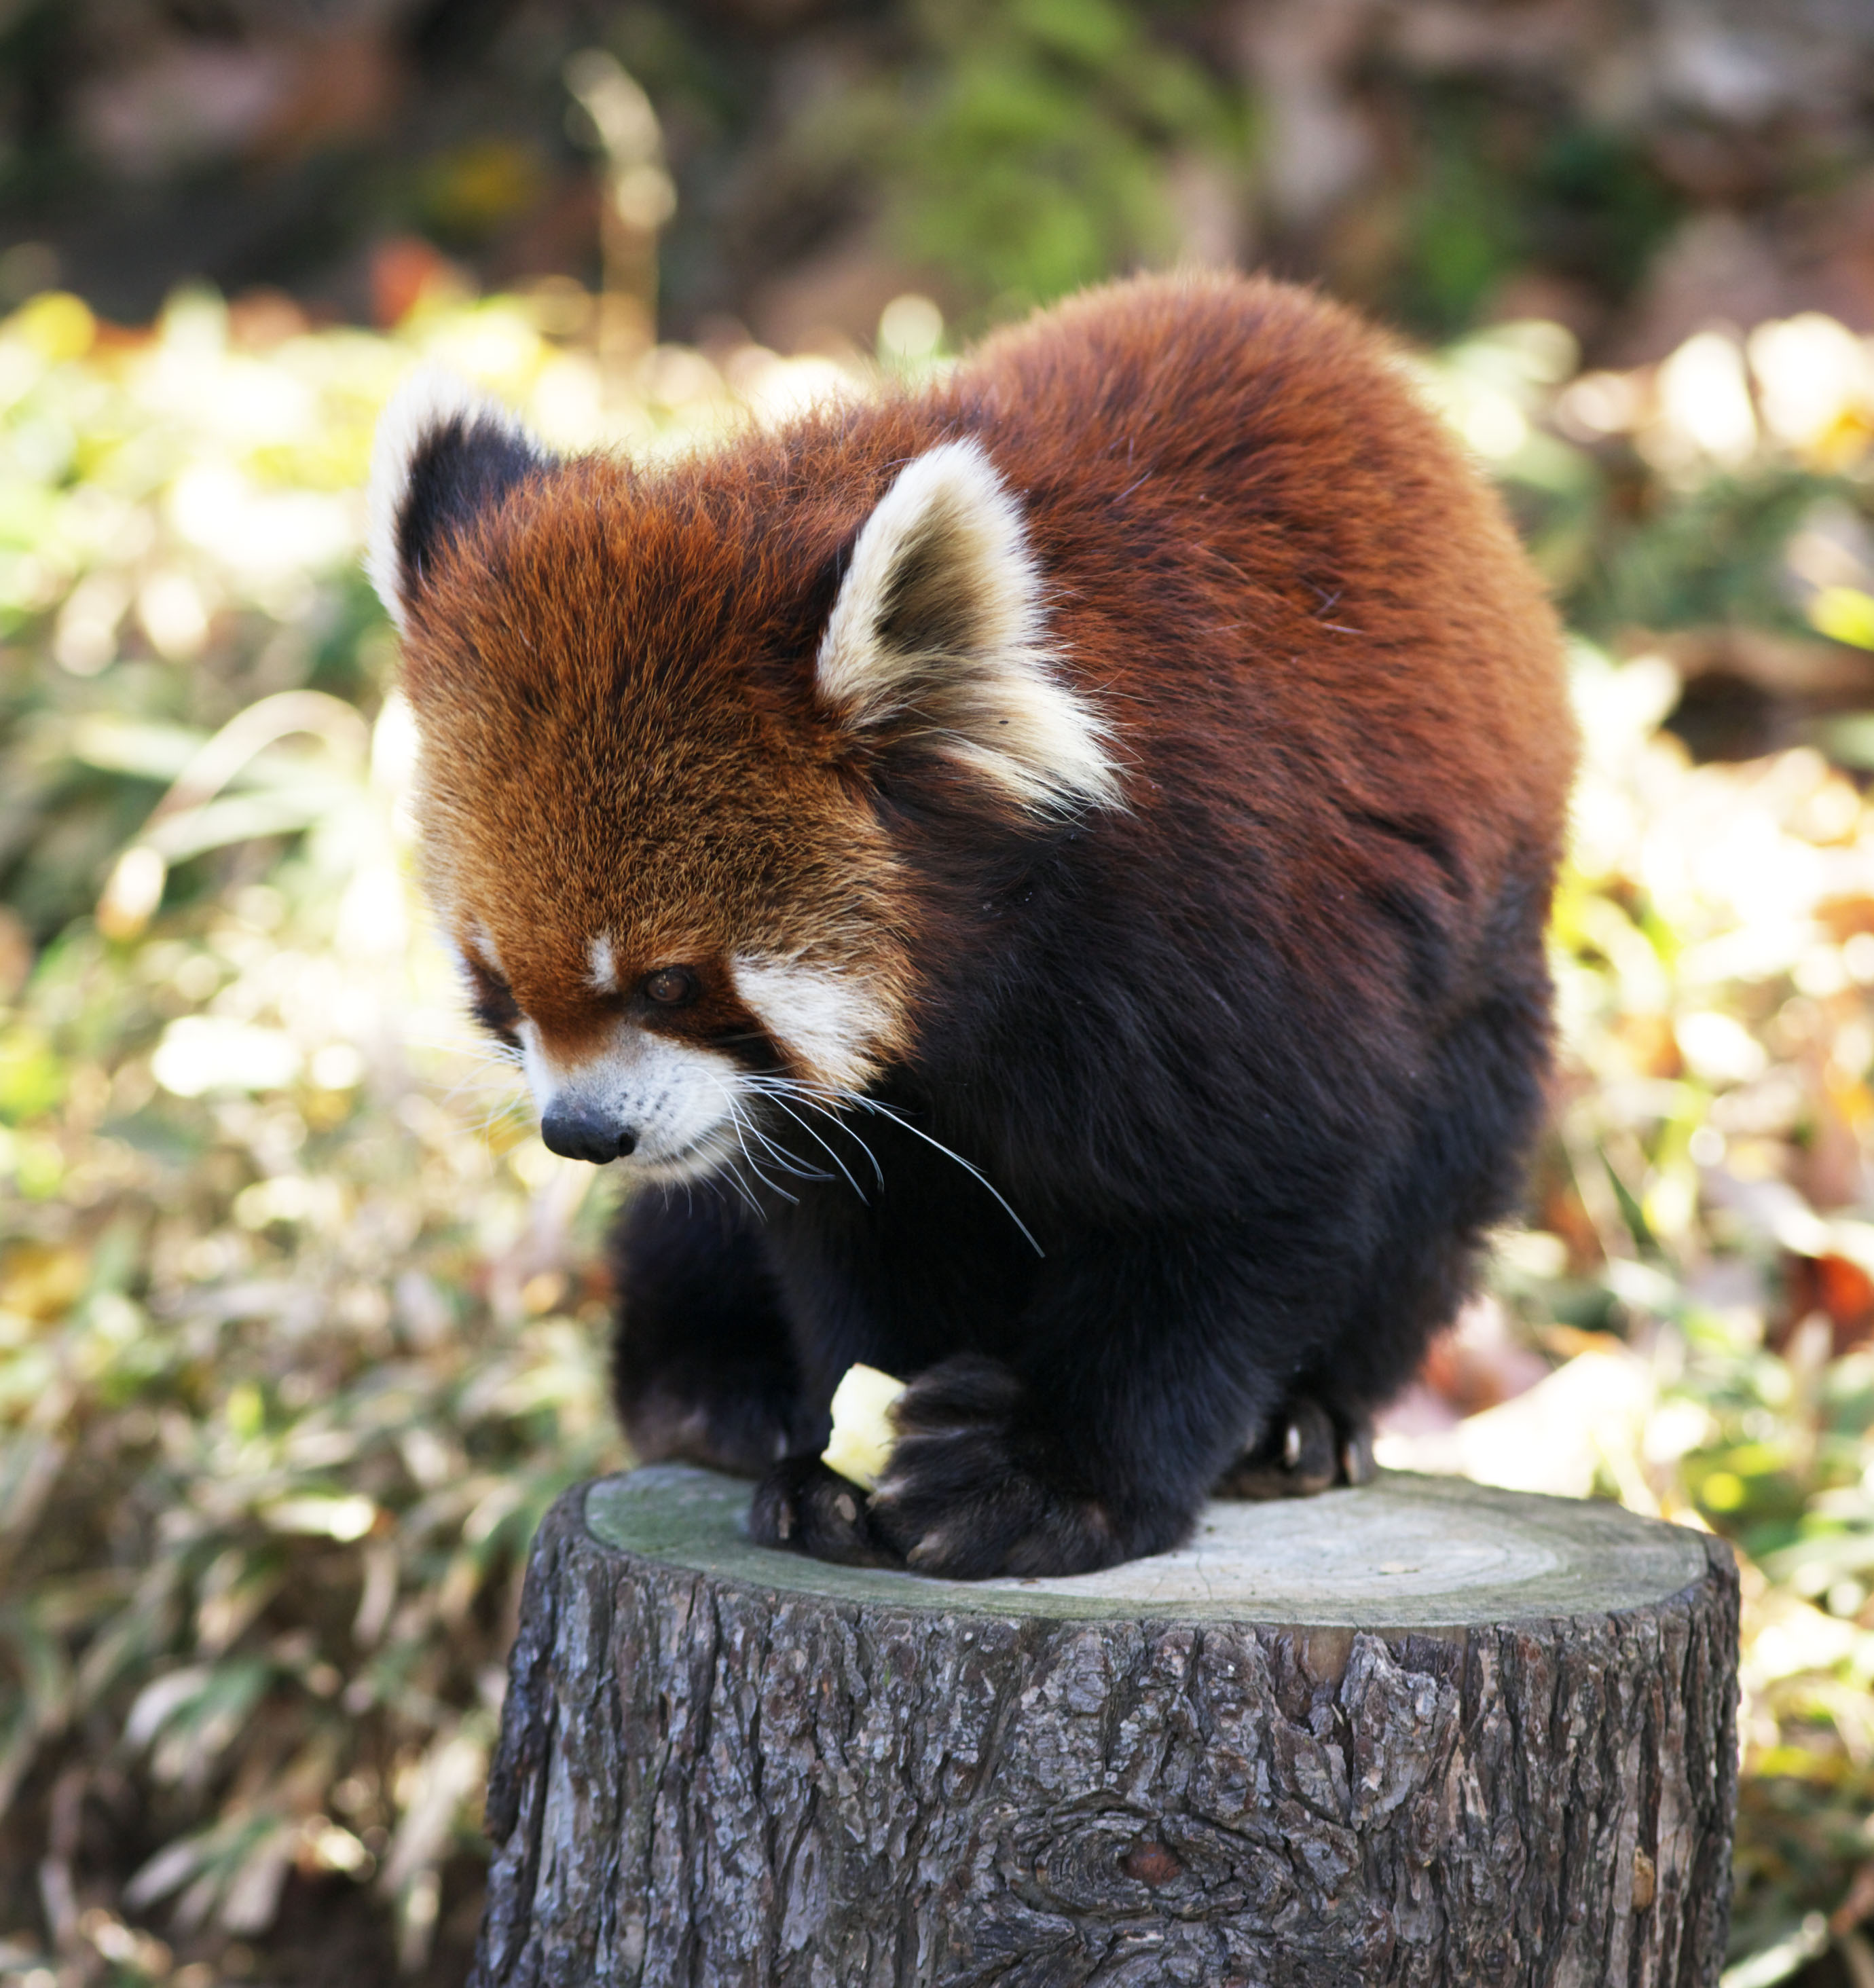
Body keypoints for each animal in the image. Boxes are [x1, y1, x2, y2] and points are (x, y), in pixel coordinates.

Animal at [365, 272, 1581, 1582]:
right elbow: (853, 1232)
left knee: (1437, 1186)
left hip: (1485, 994)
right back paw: (716, 1389)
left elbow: (1242, 1214)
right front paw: (836, 1460)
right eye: (498, 985)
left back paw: (1312, 1420)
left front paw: (1049, 1476)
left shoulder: (1230, 935)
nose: (583, 1133)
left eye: (672, 983)